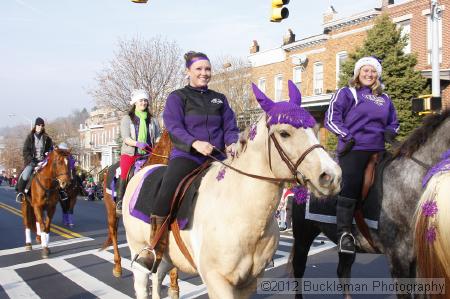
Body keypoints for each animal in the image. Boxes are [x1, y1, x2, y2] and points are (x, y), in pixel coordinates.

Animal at [122, 81, 342, 298]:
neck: (240, 209)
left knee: (158, 278)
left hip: (167, 258)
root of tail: (143, 170)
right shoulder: (217, 281)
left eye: (314, 128)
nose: (332, 176)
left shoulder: (249, 283)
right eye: (284, 133)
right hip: (138, 252)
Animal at [292, 110, 450, 299]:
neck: (405, 184)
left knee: (343, 272)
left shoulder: (417, 261)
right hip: (303, 234)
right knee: (298, 269)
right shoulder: (398, 258)